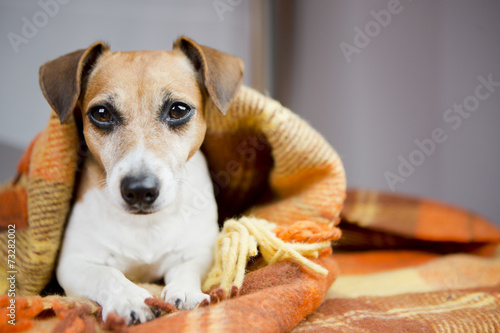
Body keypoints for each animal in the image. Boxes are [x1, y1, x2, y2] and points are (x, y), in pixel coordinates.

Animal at [37, 37, 244, 324]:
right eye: (101, 113)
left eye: (178, 109)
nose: (139, 190)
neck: (145, 226)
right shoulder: (74, 263)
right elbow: (108, 274)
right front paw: (130, 299)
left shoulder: (198, 252)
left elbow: (186, 269)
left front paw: (185, 292)